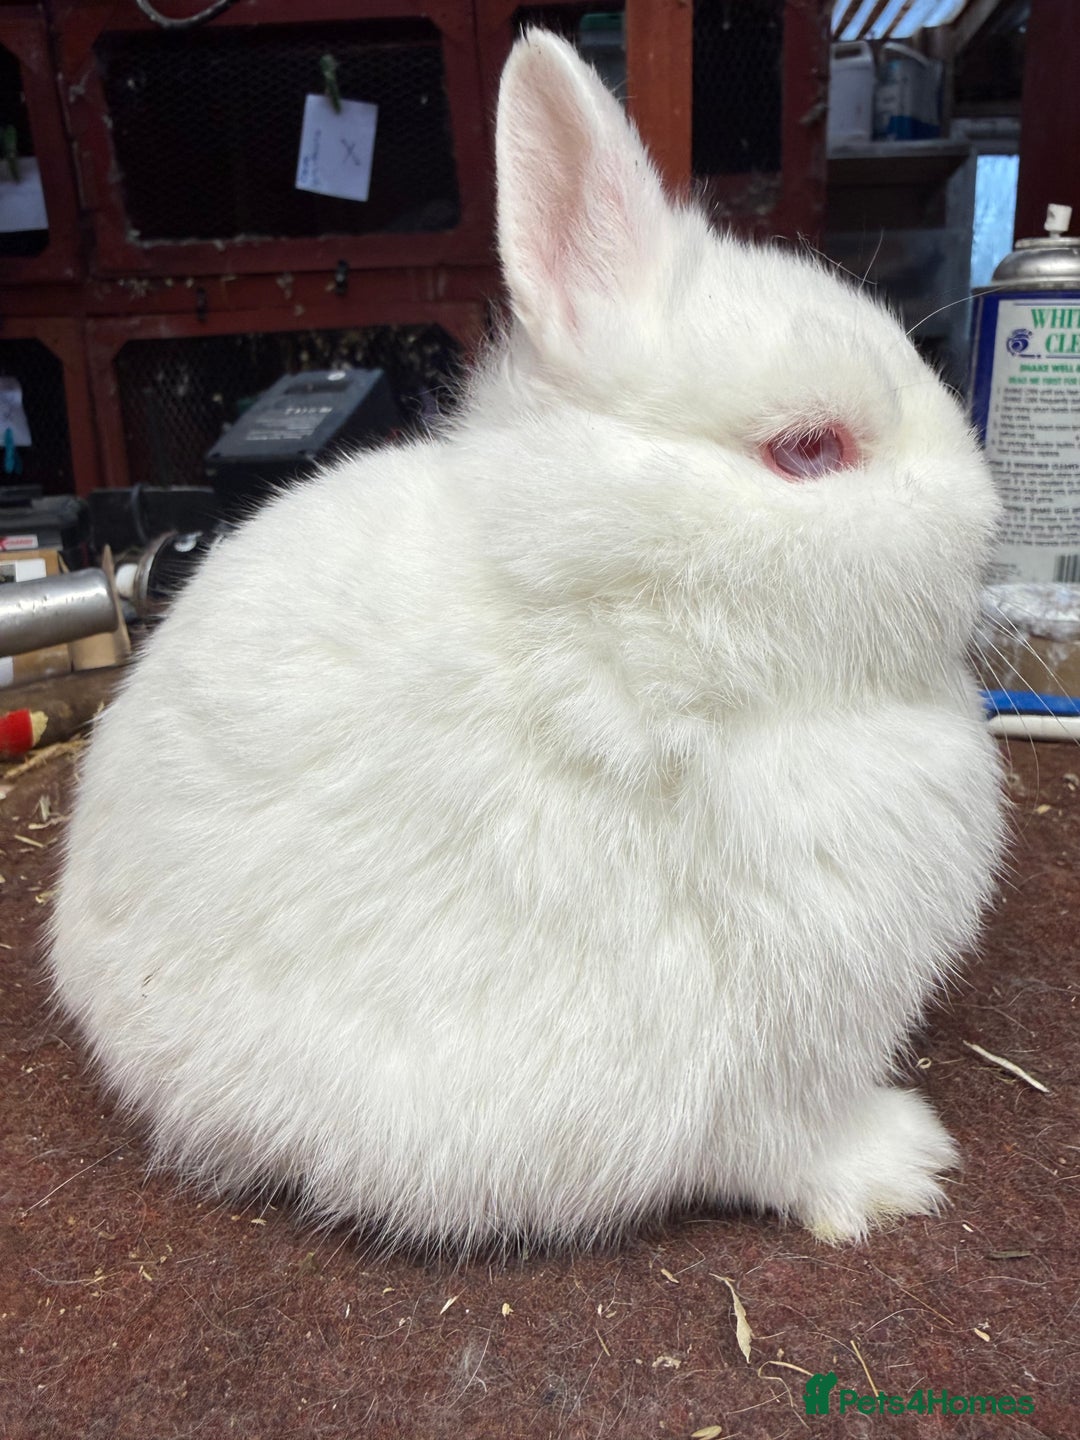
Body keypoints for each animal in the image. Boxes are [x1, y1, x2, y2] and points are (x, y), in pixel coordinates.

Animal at [48, 29, 1005, 1252]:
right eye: (806, 449)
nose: (987, 522)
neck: (636, 634)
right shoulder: (736, 1056)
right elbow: (778, 1142)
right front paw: (899, 1169)